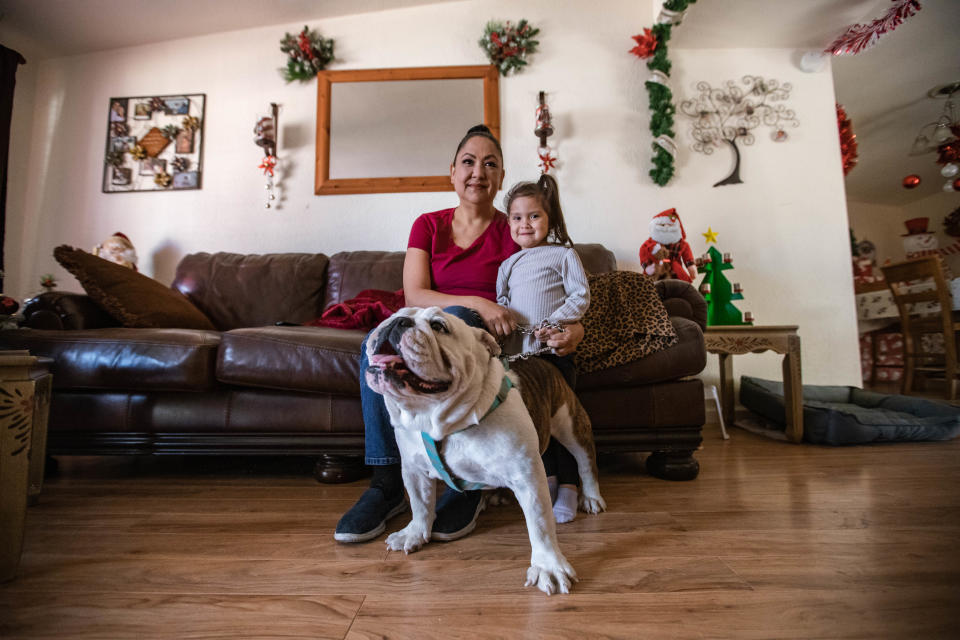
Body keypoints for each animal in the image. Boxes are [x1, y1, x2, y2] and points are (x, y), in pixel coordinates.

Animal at [364, 306, 604, 596]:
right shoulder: (414, 469)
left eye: (438, 326)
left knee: (585, 462)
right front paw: (414, 533)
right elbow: (420, 504)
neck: (440, 421)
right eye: (393, 315)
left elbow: (540, 524)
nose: (398, 321)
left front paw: (548, 566)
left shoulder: (527, 477)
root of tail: (542, 360)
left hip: (570, 423)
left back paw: (591, 497)